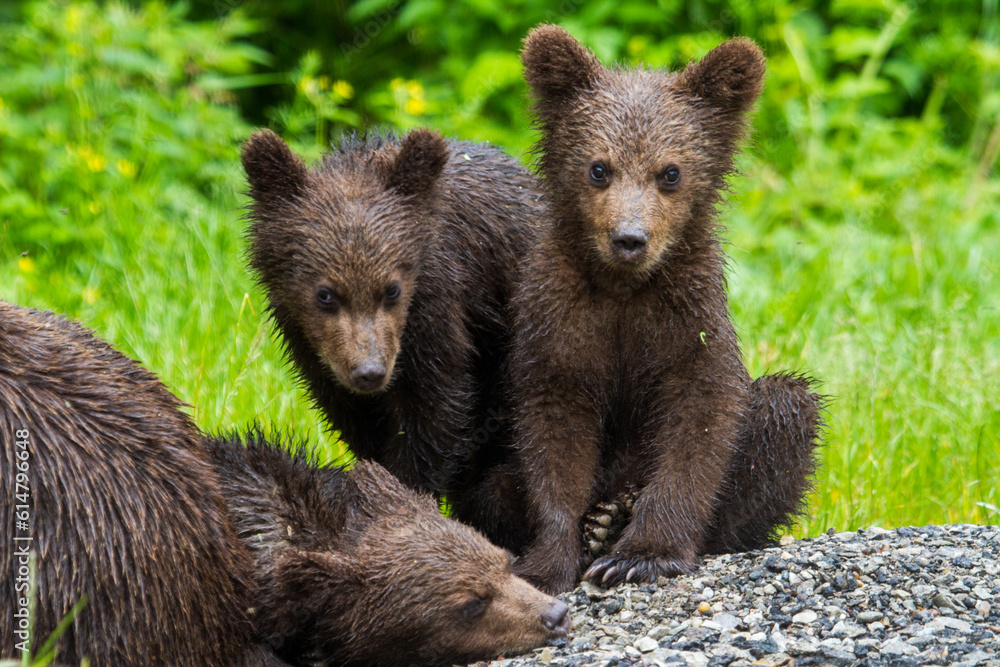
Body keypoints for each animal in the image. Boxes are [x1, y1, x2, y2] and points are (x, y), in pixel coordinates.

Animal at [241, 129, 540, 551]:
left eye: (391, 289)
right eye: (326, 294)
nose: (369, 372)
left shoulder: (437, 316)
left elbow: (434, 412)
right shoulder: (308, 344)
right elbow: (355, 418)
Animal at [507, 26, 824, 594]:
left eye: (670, 172)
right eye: (599, 168)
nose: (629, 238)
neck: (624, 289)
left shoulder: (686, 316)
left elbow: (702, 417)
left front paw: (643, 553)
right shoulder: (560, 318)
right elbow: (553, 430)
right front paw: (547, 560)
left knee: (786, 405)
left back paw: (619, 515)